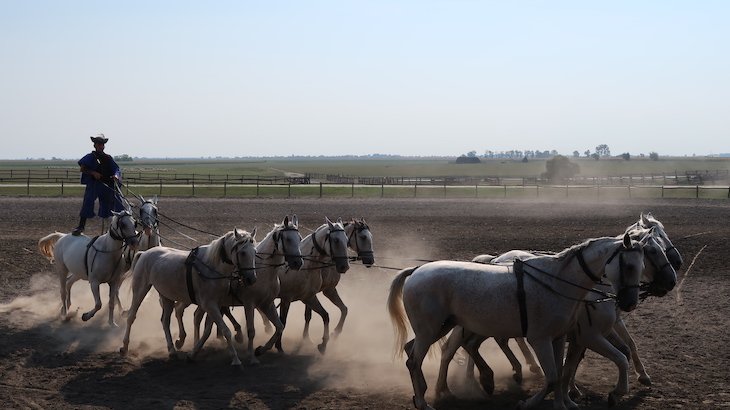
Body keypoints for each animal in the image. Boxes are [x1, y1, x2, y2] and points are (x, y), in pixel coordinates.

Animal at [119, 229, 256, 366]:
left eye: (254, 252)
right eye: (242, 252)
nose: (251, 279)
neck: (211, 267)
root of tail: (144, 253)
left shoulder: (216, 304)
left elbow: (208, 330)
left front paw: (193, 353)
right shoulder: (209, 305)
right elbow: (225, 330)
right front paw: (236, 360)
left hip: (166, 296)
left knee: (165, 321)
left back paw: (172, 350)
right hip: (140, 290)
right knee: (131, 316)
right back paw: (124, 347)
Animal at [185, 213, 304, 364]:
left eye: (299, 238)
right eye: (288, 239)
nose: (297, 263)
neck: (263, 270)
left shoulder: (267, 303)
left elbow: (279, 327)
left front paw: (260, 350)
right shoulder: (249, 303)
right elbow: (251, 330)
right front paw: (251, 356)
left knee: (198, 317)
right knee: (200, 318)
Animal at [274, 216, 352, 354]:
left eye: (347, 240)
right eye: (336, 240)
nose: (344, 266)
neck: (306, 266)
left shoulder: (310, 296)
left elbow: (328, 314)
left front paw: (325, 342)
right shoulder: (286, 299)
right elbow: (283, 321)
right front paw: (278, 346)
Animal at [386, 234, 644, 410]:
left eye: (641, 265)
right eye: (629, 265)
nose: (630, 302)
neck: (558, 281)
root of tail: (416, 270)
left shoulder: (559, 337)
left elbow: (561, 373)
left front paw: (562, 404)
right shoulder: (541, 339)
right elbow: (552, 378)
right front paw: (528, 402)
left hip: (440, 328)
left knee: (417, 351)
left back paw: (431, 392)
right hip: (430, 330)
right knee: (415, 360)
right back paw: (424, 401)